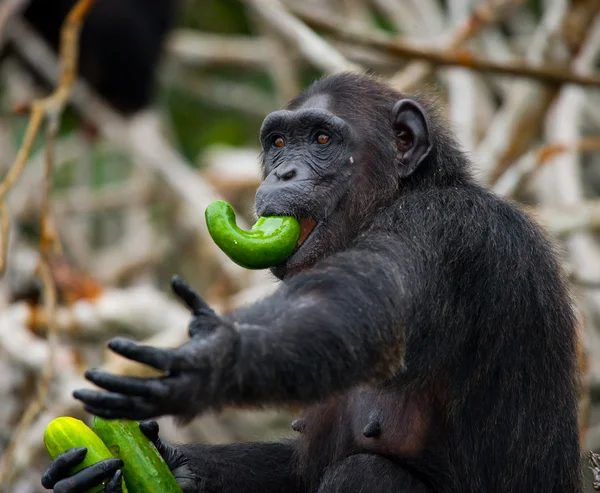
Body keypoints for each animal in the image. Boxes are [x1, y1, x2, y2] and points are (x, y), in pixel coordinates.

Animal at [38, 74, 580, 492]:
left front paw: (211, 358)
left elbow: (361, 307)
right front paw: (164, 462)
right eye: (279, 143)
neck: (397, 196)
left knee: (367, 473)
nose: (283, 173)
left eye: (321, 140)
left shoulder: (439, 233)